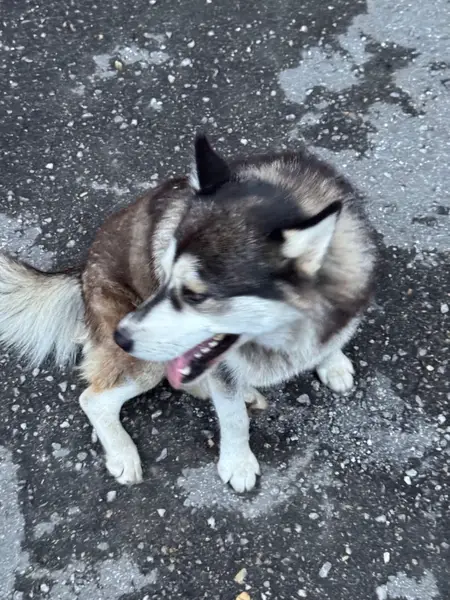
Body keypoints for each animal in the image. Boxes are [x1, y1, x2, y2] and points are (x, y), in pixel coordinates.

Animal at [0, 134, 376, 492]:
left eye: (195, 295)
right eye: (163, 276)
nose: (120, 336)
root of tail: (81, 271)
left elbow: (331, 340)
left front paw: (332, 361)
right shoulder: (219, 367)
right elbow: (233, 419)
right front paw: (238, 463)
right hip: (143, 360)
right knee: (94, 399)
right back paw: (124, 453)